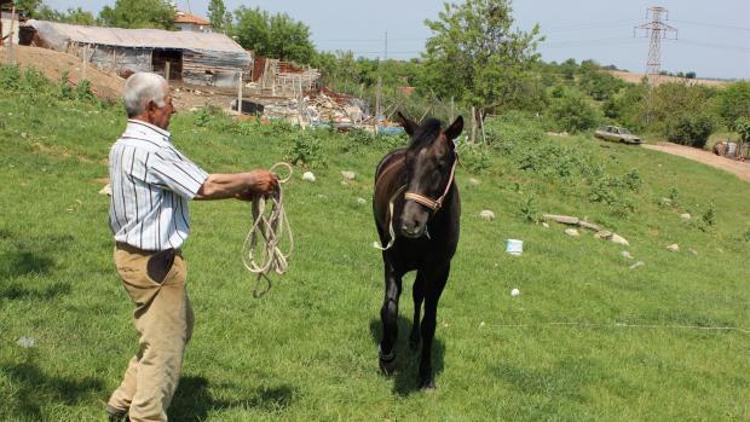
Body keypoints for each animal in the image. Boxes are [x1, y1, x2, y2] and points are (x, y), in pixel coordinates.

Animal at [372, 112, 462, 390]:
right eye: (408, 163)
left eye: (441, 163)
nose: (408, 223)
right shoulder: (392, 263)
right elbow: (389, 310)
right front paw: (387, 356)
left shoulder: (439, 271)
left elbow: (429, 321)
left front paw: (425, 375)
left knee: (418, 296)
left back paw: (414, 340)